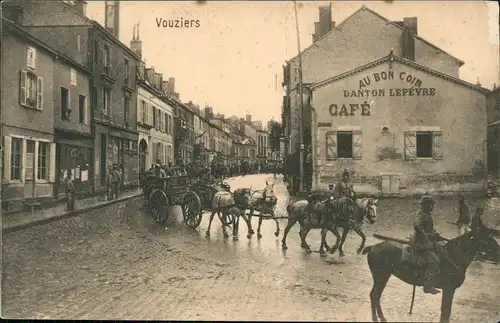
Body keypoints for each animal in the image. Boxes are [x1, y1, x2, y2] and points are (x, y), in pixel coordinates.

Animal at [362, 215, 500, 323]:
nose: (498, 253)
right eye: (488, 238)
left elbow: (445, 311)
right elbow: (446, 311)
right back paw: (377, 318)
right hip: (381, 278)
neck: (453, 255)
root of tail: (373, 247)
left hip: (382, 278)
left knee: (376, 296)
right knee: (374, 295)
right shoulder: (449, 289)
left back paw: (380, 317)